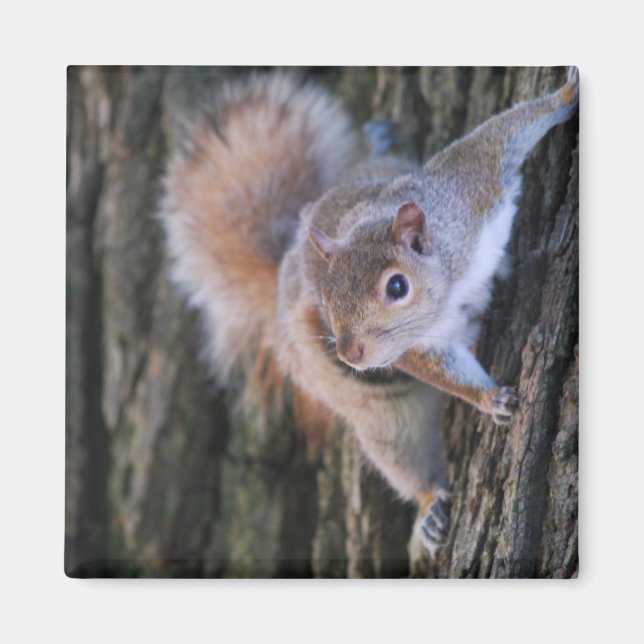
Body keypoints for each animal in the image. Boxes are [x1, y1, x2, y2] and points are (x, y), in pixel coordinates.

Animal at [161, 68, 579, 557]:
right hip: (381, 418)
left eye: (397, 286)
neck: (449, 289)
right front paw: (490, 397)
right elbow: (443, 369)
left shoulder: (471, 190)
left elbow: (504, 135)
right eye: (326, 302)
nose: (352, 355)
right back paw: (429, 510)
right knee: (407, 461)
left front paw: (565, 95)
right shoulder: (413, 346)